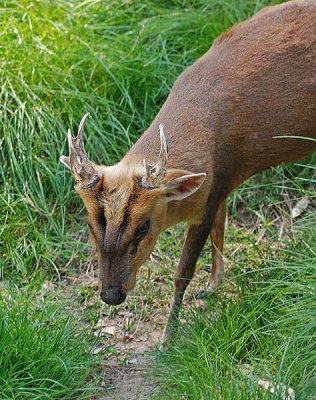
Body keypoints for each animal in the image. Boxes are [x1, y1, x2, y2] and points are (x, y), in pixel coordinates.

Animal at [59, 0, 316, 344]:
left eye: (143, 227)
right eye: (89, 224)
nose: (111, 294)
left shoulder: (209, 196)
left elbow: (183, 270)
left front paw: (169, 336)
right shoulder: (221, 183)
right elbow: (221, 230)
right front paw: (212, 287)